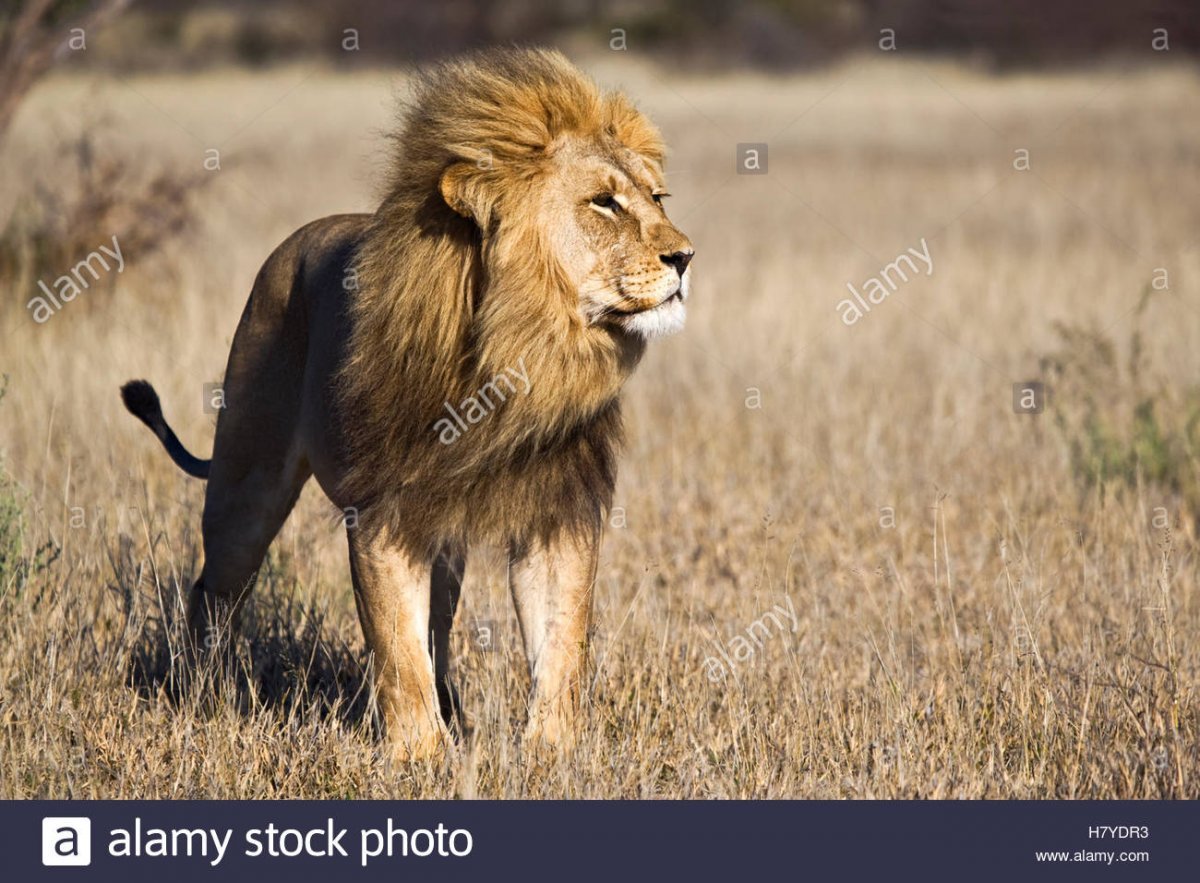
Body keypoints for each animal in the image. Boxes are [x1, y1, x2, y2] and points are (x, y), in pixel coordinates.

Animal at [120, 47, 694, 761]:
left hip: (438, 534)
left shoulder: (556, 510)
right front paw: (420, 756)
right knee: (214, 590)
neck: (520, 352)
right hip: (245, 488)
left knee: (439, 627)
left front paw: (552, 755)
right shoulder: (381, 513)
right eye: (604, 203)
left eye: (656, 197)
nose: (685, 257)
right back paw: (202, 692)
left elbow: (562, 645)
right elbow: (396, 645)